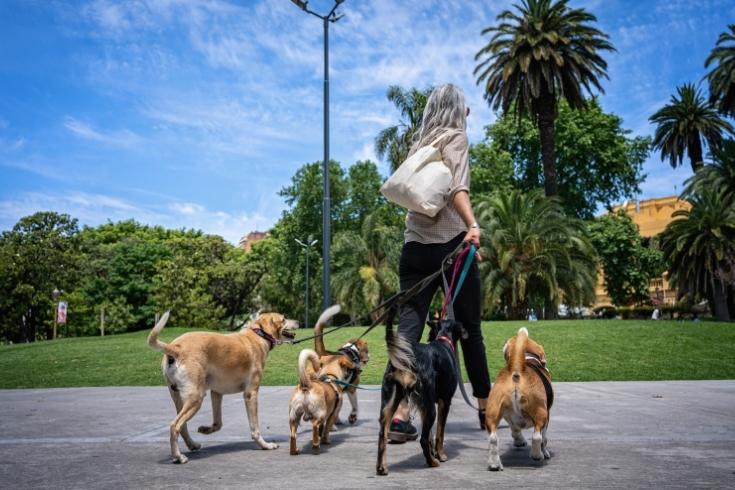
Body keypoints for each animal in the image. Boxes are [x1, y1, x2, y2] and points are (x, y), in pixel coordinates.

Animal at [148, 310, 298, 464]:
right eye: (283, 319)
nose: (298, 322)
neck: (258, 334)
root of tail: (176, 348)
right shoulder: (250, 394)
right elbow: (254, 427)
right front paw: (265, 445)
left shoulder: (217, 393)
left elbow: (218, 423)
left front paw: (206, 429)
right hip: (196, 398)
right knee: (175, 425)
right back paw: (178, 456)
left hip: (178, 397)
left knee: (182, 425)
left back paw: (192, 445)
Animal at [380, 310, 460, 474]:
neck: (443, 340)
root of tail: (408, 358)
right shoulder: (445, 401)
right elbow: (439, 433)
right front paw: (440, 454)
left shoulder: (425, 405)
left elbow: (430, 435)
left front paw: (433, 451)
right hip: (430, 407)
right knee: (422, 439)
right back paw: (432, 462)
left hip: (391, 401)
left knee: (382, 434)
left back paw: (381, 468)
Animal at [484, 328, 552, 472]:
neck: (528, 358)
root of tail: (517, 369)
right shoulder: (548, 415)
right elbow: (544, 438)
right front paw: (545, 452)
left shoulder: (508, 417)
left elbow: (515, 429)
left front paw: (519, 441)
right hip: (541, 412)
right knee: (537, 436)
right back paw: (537, 455)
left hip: (492, 413)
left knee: (493, 438)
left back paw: (494, 464)